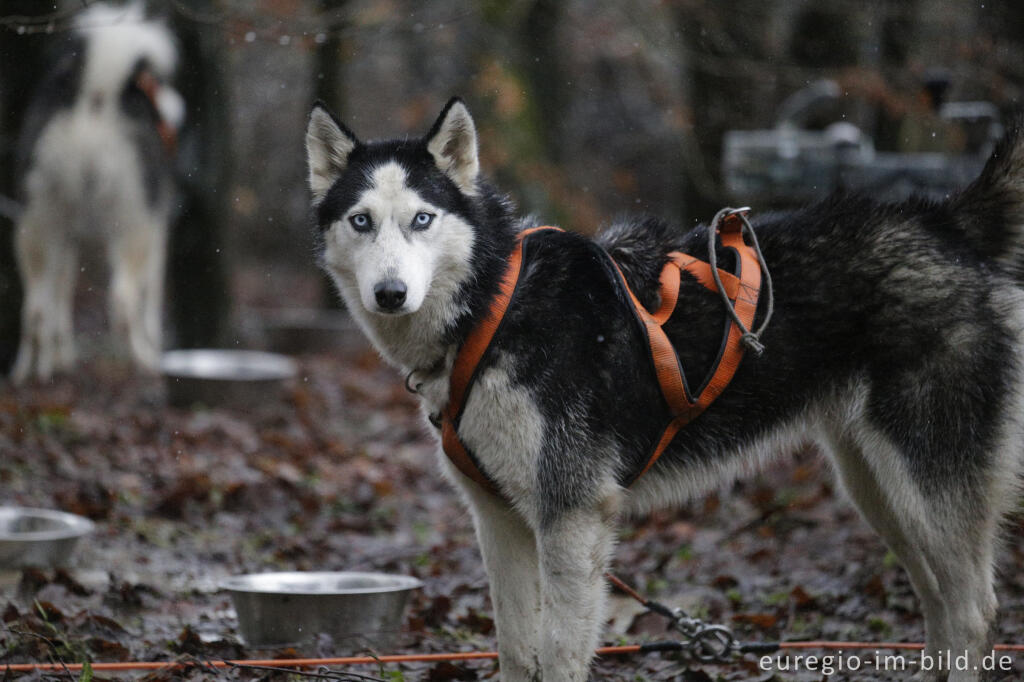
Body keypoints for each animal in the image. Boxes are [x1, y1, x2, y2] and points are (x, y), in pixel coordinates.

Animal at [10, 2, 182, 378]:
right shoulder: (158, 229)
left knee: (35, 309)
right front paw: (153, 348)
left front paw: (60, 357)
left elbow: (59, 301)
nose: (177, 111)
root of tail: (96, 96)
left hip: (38, 225)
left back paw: (32, 372)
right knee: (123, 300)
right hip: (132, 226)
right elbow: (151, 301)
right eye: (159, 83)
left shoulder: (69, 239)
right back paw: (142, 360)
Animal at [307, 96, 1024, 679]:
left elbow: (559, 654)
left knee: (974, 611)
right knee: (938, 602)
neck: (493, 307)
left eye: (422, 219)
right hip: (879, 492)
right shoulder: (500, 520)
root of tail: (939, 221)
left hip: (925, 481)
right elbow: (516, 650)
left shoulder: (572, 514)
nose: (390, 293)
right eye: (361, 221)